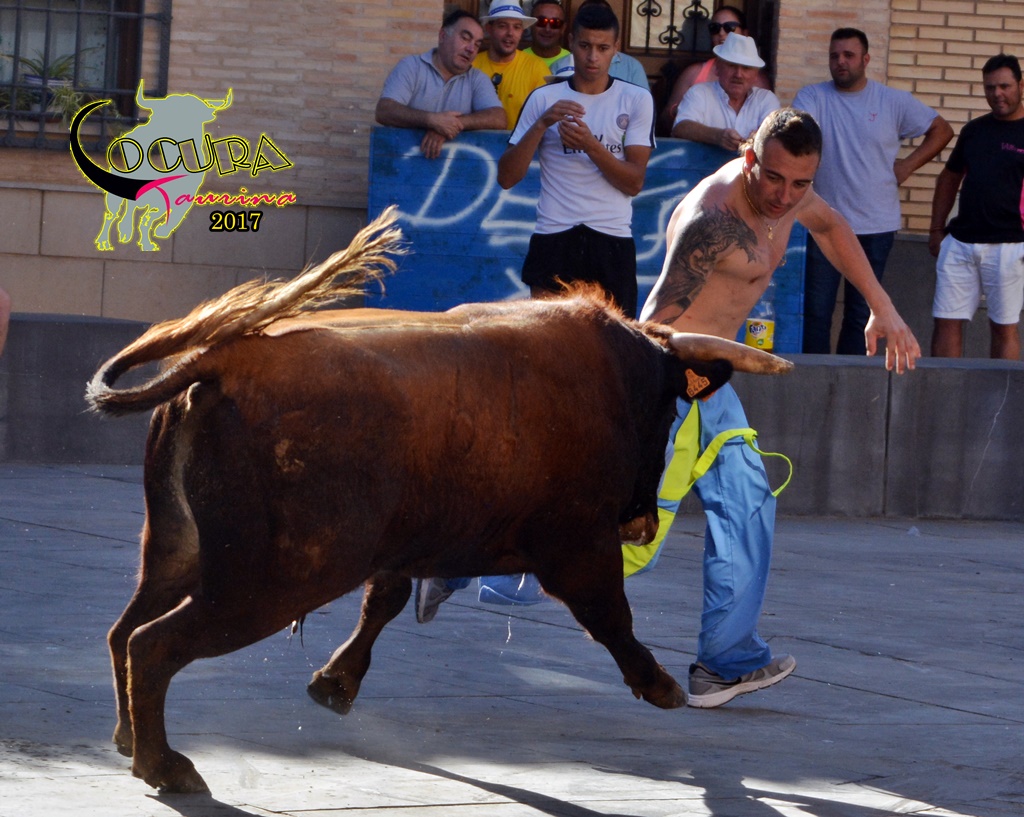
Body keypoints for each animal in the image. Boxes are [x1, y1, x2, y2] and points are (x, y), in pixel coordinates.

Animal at [88, 208, 793, 794]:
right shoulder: (577, 545)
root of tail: (218, 363)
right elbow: (610, 615)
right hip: (266, 582)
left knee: (124, 630)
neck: (613, 373)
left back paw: (128, 740)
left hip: (177, 550)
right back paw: (165, 766)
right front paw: (661, 685)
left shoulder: (410, 540)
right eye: (669, 411)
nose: (643, 522)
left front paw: (334, 685)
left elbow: (387, 599)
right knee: (152, 643)